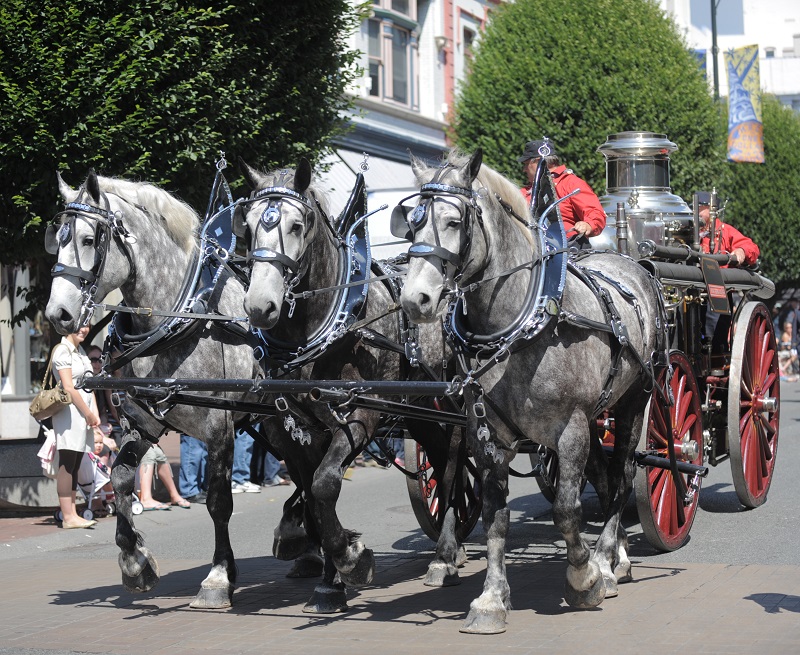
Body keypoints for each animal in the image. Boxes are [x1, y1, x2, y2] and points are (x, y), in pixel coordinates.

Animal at [396, 150, 664, 636]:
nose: (414, 300)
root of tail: (633, 264)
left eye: (453, 220)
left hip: (634, 400)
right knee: (605, 475)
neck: (522, 324)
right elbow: (495, 515)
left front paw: (584, 577)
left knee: (623, 475)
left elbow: (566, 510)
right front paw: (490, 598)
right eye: (412, 224)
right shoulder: (488, 435)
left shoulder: (571, 428)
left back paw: (608, 559)